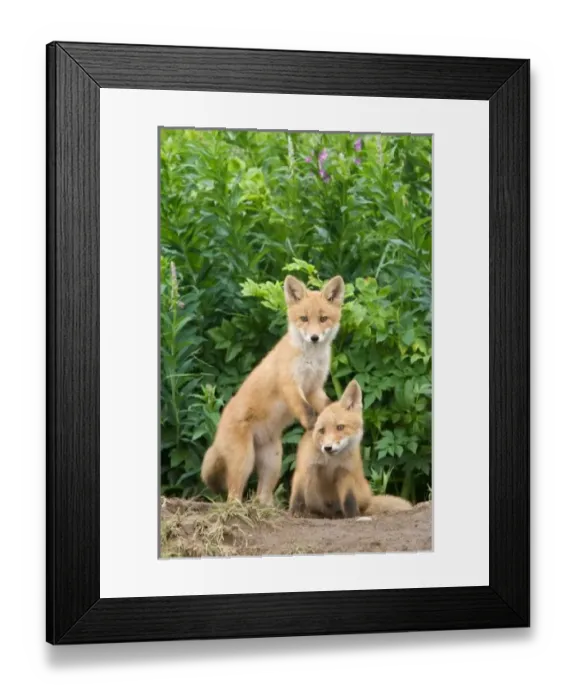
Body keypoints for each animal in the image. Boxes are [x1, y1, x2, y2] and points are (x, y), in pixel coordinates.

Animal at [201, 273, 346, 506]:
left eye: (323, 319)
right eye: (304, 318)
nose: (314, 337)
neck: (311, 359)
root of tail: (218, 429)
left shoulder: (314, 388)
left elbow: (325, 405)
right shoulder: (290, 385)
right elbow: (305, 409)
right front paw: (312, 426)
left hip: (273, 463)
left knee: (263, 495)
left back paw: (268, 508)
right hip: (244, 461)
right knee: (233, 495)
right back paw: (236, 509)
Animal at [289, 378, 413, 519]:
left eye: (340, 427)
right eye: (321, 430)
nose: (328, 448)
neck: (331, 462)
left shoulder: (345, 472)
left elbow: (349, 499)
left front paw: (352, 515)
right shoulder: (305, 468)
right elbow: (298, 495)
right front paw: (296, 512)